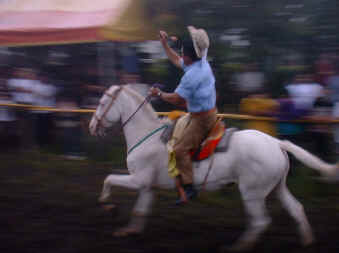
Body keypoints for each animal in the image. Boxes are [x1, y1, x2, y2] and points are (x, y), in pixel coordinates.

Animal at [89, 85, 338, 251]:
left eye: (101, 103)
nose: (92, 126)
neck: (147, 136)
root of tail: (276, 143)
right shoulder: (147, 186)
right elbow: (140, 210)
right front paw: (129, 231)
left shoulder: (138, 180)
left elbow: (108, 179)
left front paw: (107, 205)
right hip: (278, 187)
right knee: (296, 209)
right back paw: (307, 240)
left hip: (252, 192)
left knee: (260, 221)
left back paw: (238, 247)